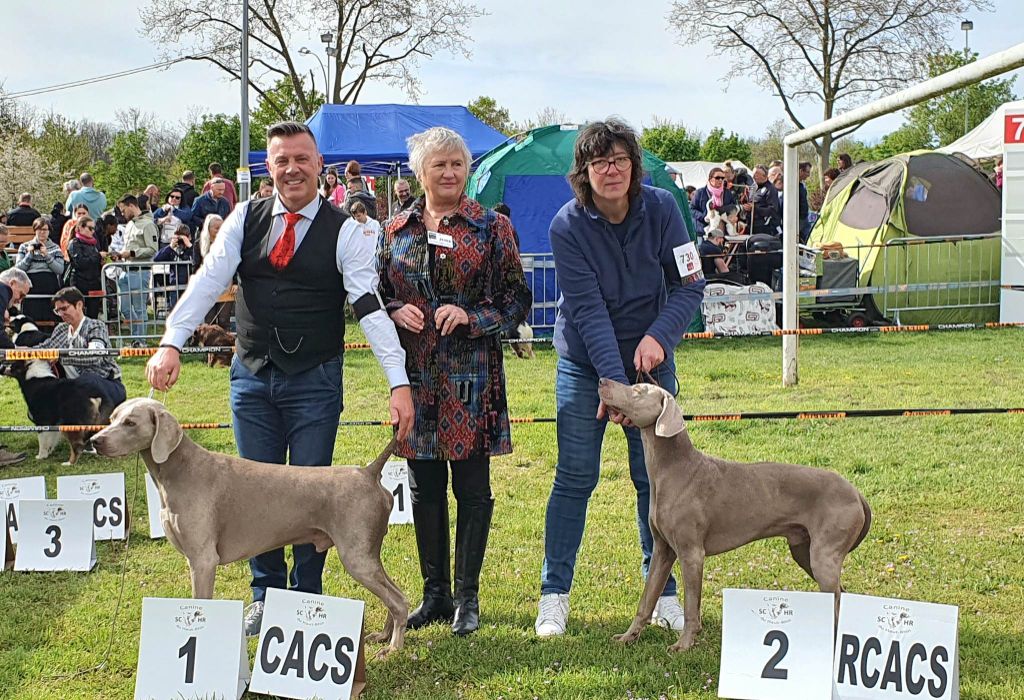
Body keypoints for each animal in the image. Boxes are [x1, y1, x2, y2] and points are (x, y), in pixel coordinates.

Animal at [92, 399, 409, 654]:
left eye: (130, 422)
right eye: (112, 418)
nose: (95, 440)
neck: (180, 470)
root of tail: (368, 472)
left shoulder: (203, 560)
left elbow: (201, 603)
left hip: (356, 556)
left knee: (398, 600)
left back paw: (393, 648)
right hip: (367, 553)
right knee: (396, 591)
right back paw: (383, 635)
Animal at [598, 380, 872, 654]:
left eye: (638, 391)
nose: (602, 381)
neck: (674, 469)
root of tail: (856, 492)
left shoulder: (691, 554)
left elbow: (691, 606)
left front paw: (684, 644)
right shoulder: (663, 551)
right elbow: (646, 599)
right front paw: (628, 636)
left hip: (823, 556)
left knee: (837, 599)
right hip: (803, 551)